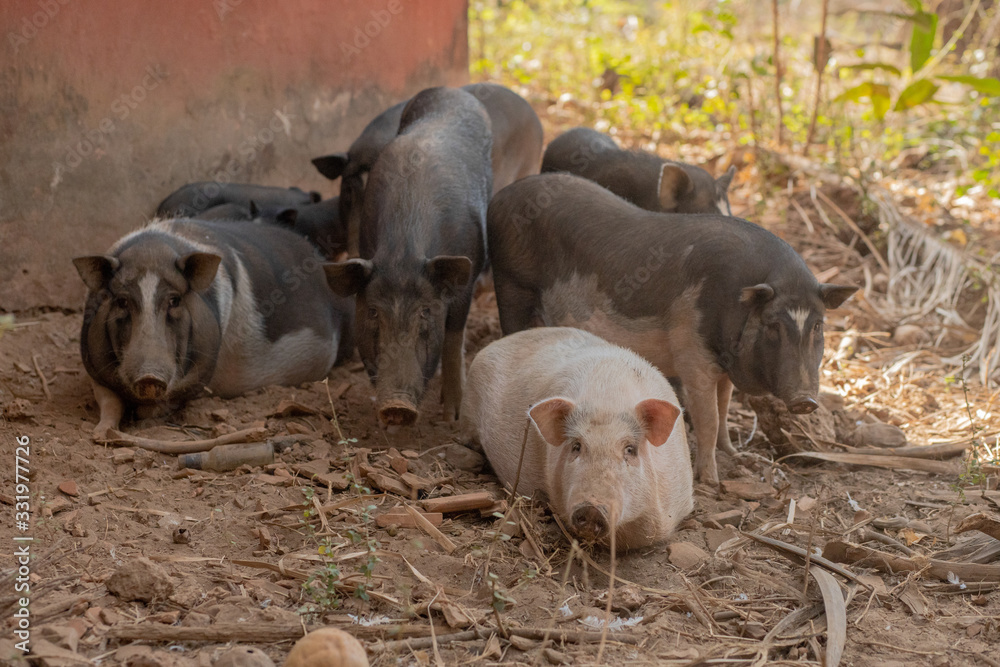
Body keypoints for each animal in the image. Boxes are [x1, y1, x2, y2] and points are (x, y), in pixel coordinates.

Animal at [73, 218, 354, 439]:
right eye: (122, 301)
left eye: (174, 300)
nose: (149, 376)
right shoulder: (94, 369)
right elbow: (109, 402)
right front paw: (100, 433)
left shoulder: (199, 375)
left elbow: (159, 407)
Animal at [323, 86, 492, 426]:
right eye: (373, 311)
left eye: (426, 311)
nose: (397, 406)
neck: (402, 255)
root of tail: (452, 90)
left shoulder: (464, 280)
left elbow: (453, 339)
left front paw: (453, 416)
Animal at [487, 173, 858, 484]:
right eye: (772, 325)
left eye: (818, 326)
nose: (805, 400)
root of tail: (499, 199)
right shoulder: (692, 356)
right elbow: (708, 418)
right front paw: (711, 481)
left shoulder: (724, 366)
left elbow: (724, 408)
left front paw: (735, 454)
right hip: (510, 284)